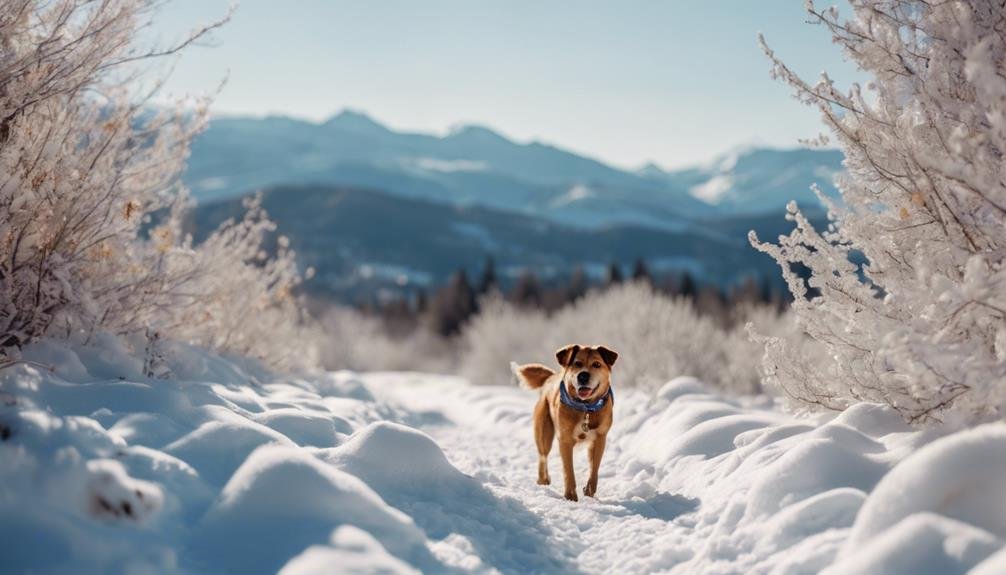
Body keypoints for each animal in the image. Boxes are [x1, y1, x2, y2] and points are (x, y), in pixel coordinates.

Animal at [515, 343, 615, 500]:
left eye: (597, 364)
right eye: (577, 363)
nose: (583, 375)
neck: (585, 408)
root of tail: (551, 377)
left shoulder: (600, 439)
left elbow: (594, 468)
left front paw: (589, 490)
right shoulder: (565, 440)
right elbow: (568, 470)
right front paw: (570, 496)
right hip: (544, 433)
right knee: (543, 456)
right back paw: (543, 480)